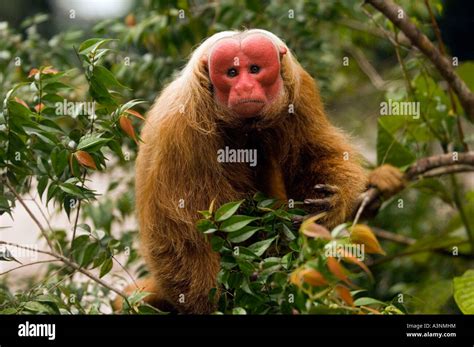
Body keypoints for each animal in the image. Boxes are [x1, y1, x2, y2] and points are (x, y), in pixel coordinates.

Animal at [120, 29, 402, 316]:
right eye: (232, 73)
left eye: (254, 69)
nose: (244, 87)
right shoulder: (179, 126)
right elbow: (182, 232)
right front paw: (215, 301)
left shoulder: (299, 90)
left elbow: (313, 155)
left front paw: (330, 202)